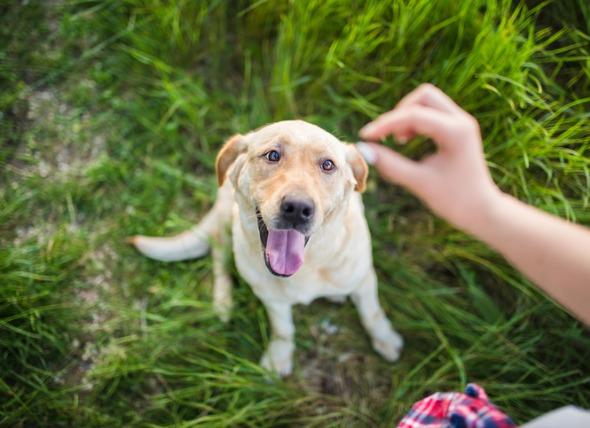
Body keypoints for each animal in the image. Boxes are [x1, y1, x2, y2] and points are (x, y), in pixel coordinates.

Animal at [130, 119, 404, 374]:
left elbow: (372, 313)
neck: (307, 266)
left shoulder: (364, 279)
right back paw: (223, 301)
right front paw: (279, 356)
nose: (297, 208)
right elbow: (283, 329)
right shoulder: (271, 297)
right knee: (219, 256)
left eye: (328, 165)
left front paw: (385, 338)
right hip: (226, 222)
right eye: (273, 155)